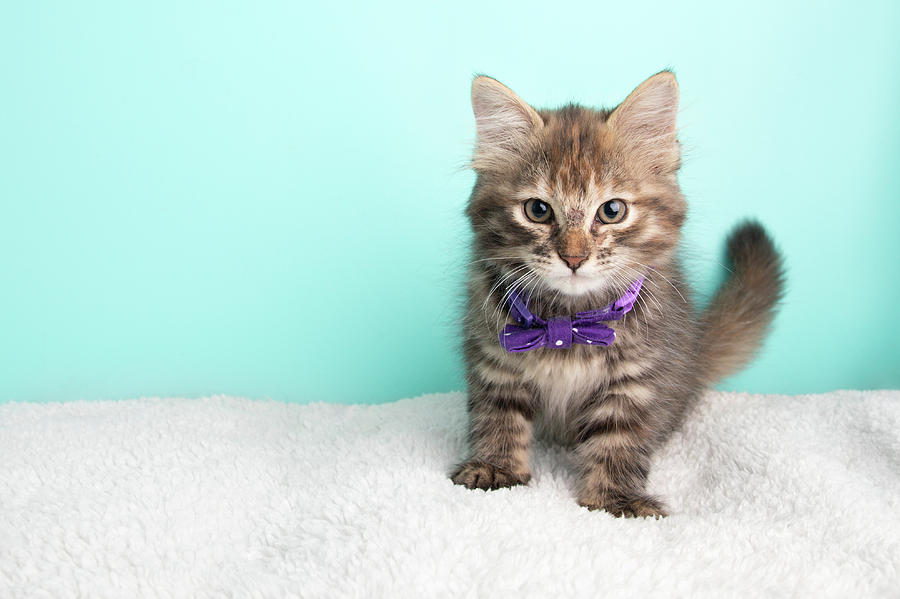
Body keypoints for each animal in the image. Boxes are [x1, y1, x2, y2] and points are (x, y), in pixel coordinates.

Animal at [454, 70, 784, 516]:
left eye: (612, 211)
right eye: (538, 210)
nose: (574, 258)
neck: (569, 320)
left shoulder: (637, 378)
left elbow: (620, 440)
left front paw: (616, 499)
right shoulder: (495, 359)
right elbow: (498, 418)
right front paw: (495, 467)